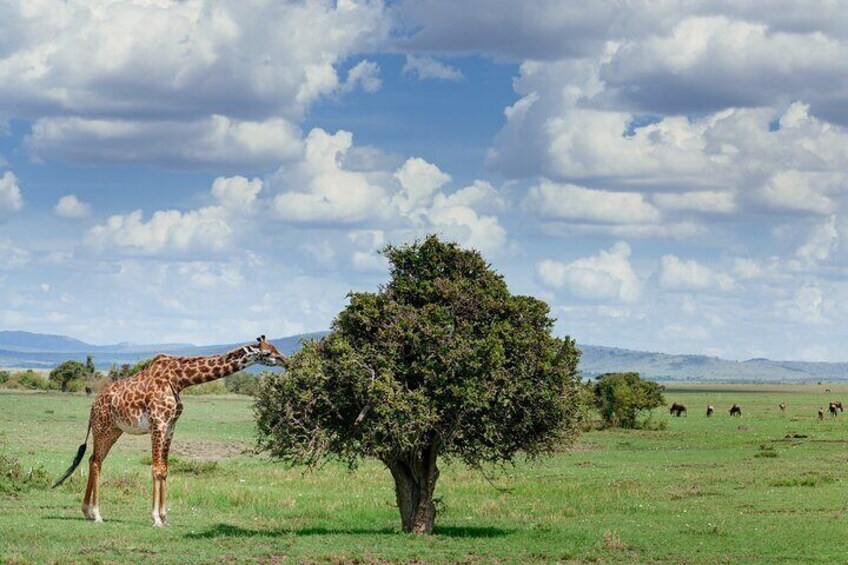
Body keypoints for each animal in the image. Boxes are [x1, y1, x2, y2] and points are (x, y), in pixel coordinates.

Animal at [52, 334, 288, 524]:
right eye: (268, 352)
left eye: (276, 347)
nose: (287, 361)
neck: (180, 379)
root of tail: (93, 405)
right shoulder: (158, 423)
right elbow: (156, 469)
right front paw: (156, 518)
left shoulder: (171, 426)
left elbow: (164, 469)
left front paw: (165, 517)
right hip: (102, 427)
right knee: (96, 462)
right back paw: (97, 514)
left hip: (114, 430)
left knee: (94, 459)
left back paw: (87, 511)